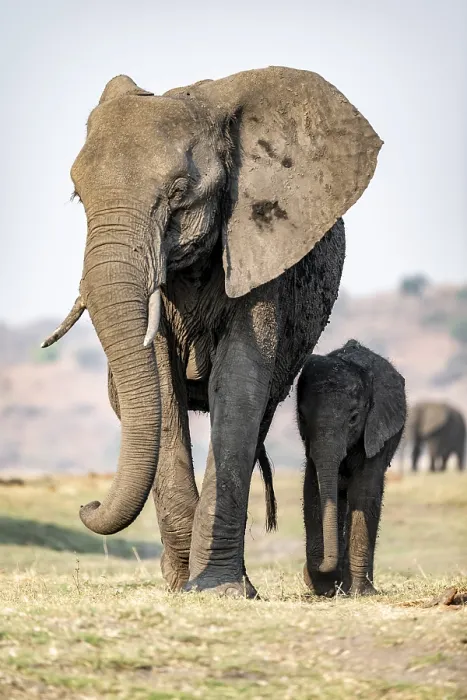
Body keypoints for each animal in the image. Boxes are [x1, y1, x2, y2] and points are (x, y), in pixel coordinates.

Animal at [41, 66, 382, 598]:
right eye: (79, 197)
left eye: (179, 193)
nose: (87, 505)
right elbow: (162, 387)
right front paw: (188, 585)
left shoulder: (261, 251)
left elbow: (239, 384)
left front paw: (222, 590)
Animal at [296, 340, 406, 597]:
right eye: (302, 417)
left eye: (354, 418)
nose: (308, 571)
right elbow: (314, 490)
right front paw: (325, 587)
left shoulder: (376, 430)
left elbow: (363, 494)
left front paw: (358, 593)